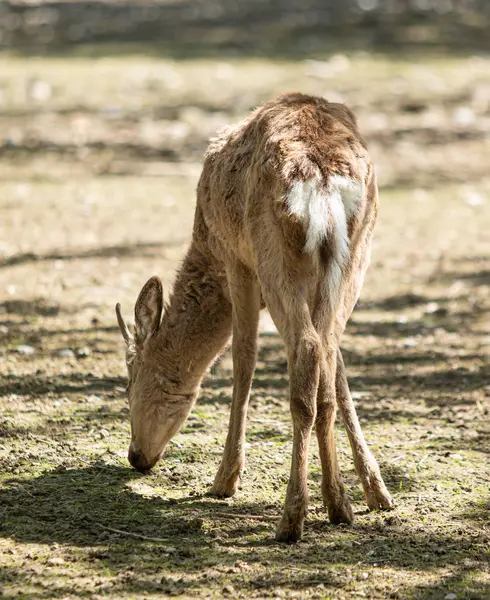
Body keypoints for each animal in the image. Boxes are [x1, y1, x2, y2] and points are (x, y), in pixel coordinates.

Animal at [116, 91, 394, 540]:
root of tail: (322, 182)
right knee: (326, 351)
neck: (205, 249)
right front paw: (376, 492)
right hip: (356, 254)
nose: (136, 456)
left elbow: (243, 358)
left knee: (307, 350)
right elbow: (340, 372)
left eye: (130, 385)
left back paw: (292, 518)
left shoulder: (236, 263)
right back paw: (338, 505)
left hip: (273, 256)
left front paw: (225, 479)